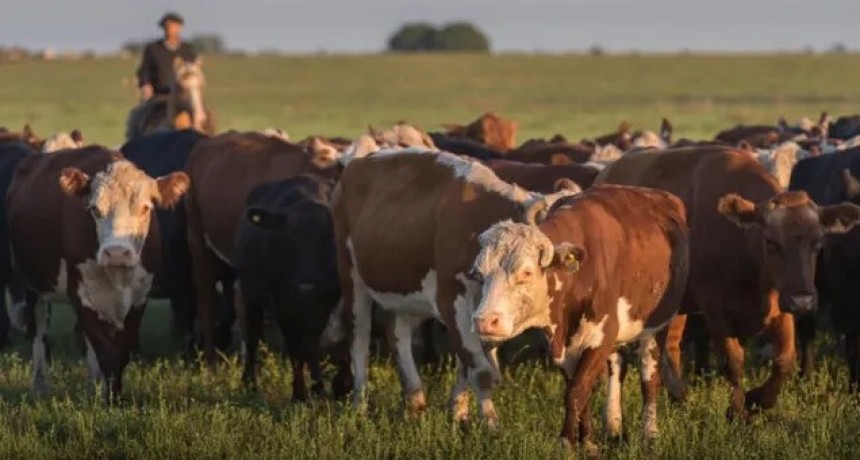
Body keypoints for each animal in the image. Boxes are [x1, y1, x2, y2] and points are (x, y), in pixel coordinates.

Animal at [7, 146, 189, 400]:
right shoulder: (81, 294)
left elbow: (122, 349)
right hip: (32, 286)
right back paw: (41, 387)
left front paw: (112, 395)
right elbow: (105, 350)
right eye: (94, 209)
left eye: (145, 208)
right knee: (39, 333)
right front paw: (111, 400)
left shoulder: (139, 295)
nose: (117, 252)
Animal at [234, 174, 341, 400]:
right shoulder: (283, 307)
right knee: (252, 338)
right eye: (288, 237)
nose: (305, 286)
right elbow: (295, 349)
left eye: (328, 236)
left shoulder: (324, 306)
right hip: (250, 295)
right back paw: (249, 383)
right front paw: (299, 393)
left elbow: (311, 346)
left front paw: (318, 388)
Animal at [332, 150, 574, 425]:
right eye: (527, 271)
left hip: (406, 292)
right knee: (359, 342)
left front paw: (458, 412)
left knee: (396, 332)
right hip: (351, 278)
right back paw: (358, 406)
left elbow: (466, 365)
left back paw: (415, 400)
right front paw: (489, 423)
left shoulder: (485, 315)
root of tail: (359, 162)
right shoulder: (452, 299)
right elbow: (480, 371)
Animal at [471, 184, 689, 451]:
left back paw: (650, 434)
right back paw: (613, 427)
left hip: (655, 328)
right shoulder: (563, 346)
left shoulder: (602, 335)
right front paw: (589, 442)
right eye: (479, 274)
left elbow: (577, 389)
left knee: (649, 377)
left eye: (526, 272)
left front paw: (567, 441)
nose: (484, 321)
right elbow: (579, 389)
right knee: (617, 367)